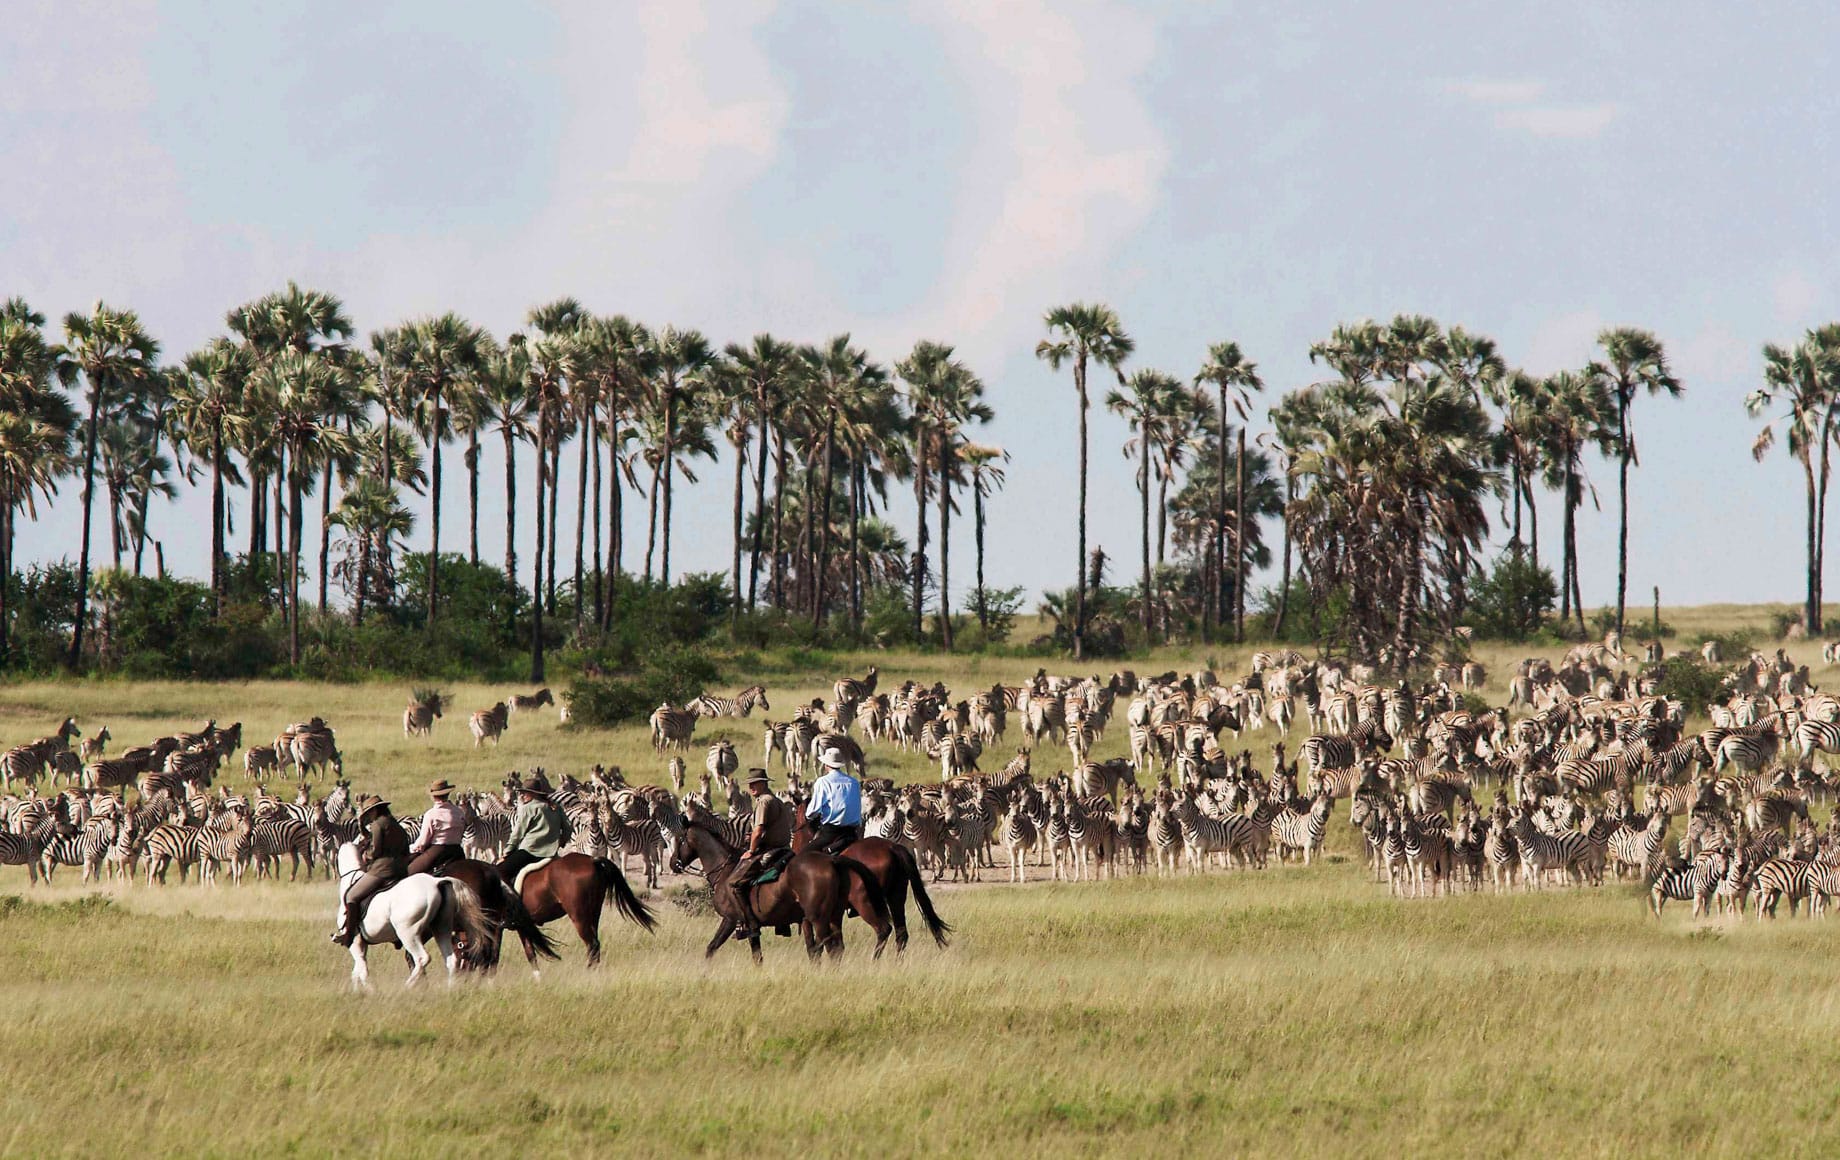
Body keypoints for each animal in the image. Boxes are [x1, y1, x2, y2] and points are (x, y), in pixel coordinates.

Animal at [334, 839, 500, 994]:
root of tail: (437, 881)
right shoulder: (362, 944)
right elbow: (357, 972)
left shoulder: (355, 942)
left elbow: (362, 970)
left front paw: (369, 991)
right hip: (442, 929)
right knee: (453, 959)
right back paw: (450, 988)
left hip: (408, 933)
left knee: (422, 958)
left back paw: (407, 986)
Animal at [673, 810, 894, 964]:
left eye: (680, 838)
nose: (673, 863)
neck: (725, 870)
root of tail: (832, 860)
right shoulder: (751, 927)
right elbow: (757, 956)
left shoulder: (731, 919)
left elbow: (712, 947)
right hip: (834, 915)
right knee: (837, 948)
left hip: (828, 915)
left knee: (847, 941)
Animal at [794, 810, 956, 957]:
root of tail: (892, 848)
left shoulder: (809, 917)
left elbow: (813, 945)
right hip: (896, 898)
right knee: (901, 934)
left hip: (865, 903)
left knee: (884, 930)